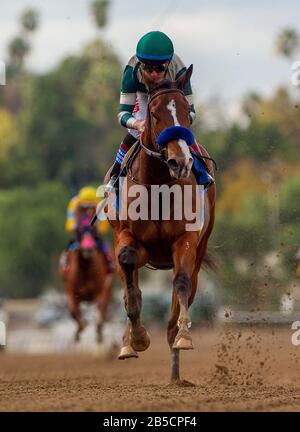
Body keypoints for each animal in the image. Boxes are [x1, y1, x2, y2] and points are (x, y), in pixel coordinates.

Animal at [61, 214, 114, 342]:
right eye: (80, 231)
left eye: (93, 230)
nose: (88, 248)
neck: (86, 270)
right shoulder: (71, 292)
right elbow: (73, 311)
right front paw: (80, 329)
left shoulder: (101, 289)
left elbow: (101, 306)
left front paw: (99, 331)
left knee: (105, 307)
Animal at [103, 66, 216, 384]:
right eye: (153, 114)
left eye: (186, 112)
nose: (181, 162)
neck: (158, 187)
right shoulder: (127, 238)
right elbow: (129, 280)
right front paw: (138, 338)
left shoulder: (185, 241)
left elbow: (181, 283)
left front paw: (183, 337)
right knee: (128, 280)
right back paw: (129, 341)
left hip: (199, 248)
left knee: (184, 290)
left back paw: (175, 363)